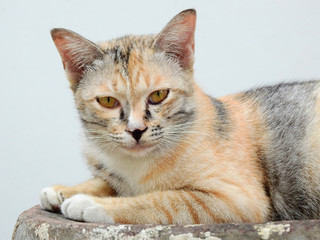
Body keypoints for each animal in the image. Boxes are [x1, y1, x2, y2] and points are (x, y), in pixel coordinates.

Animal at [40, 7, 320, 225]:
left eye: (158, 95)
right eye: (108, 101)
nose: (136, 130)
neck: (137, 166)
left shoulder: (238, 199)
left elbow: (163, 199)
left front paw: (91, 203)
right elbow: (105, 181)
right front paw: (65, 190)